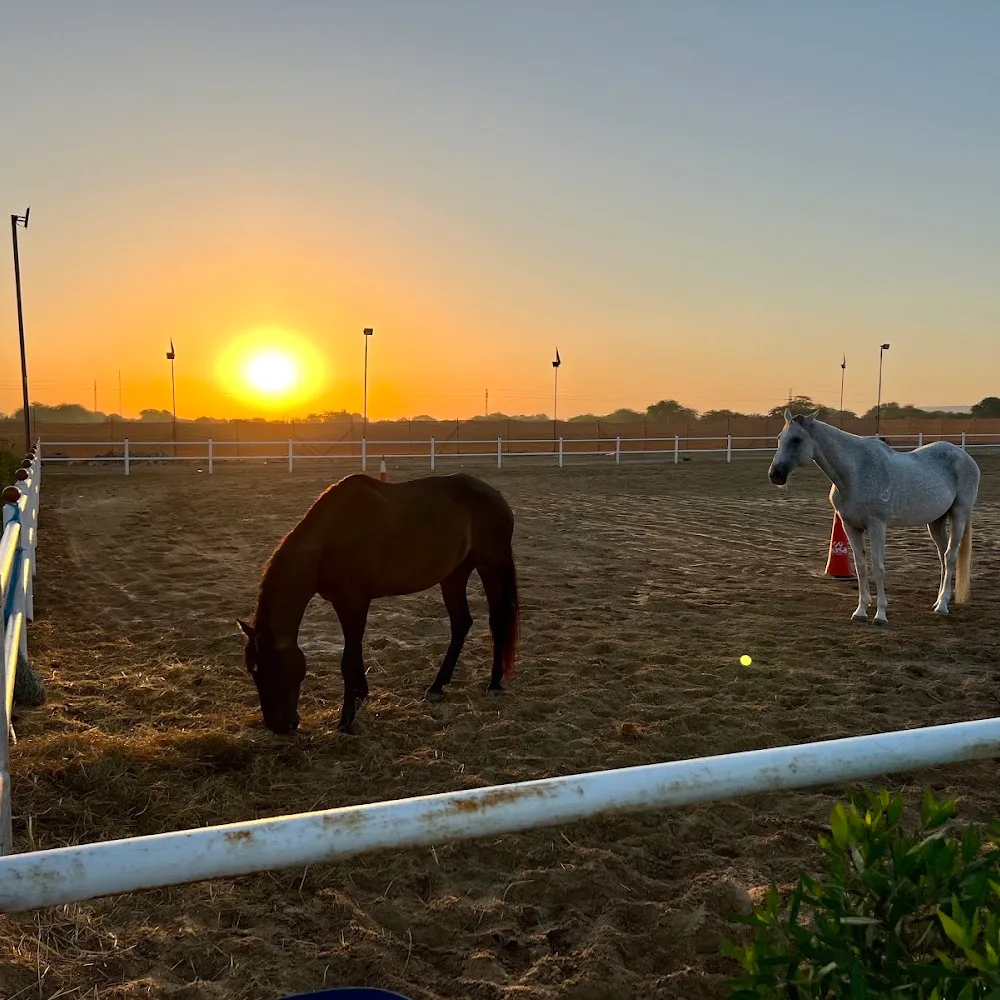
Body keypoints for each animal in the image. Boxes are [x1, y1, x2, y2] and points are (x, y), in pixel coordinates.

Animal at [236, 471, 520, 735]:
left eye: (275, 668)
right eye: (253, 670)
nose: (278, 726)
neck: (331, 537)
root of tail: (497, 496)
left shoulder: (353, 602)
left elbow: (349, 658)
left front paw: (346, 719)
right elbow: (354, 654)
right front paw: (358, 699)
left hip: (490, 566)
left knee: (497, 621)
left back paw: (494, 682)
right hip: (454, 574)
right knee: (461, 623)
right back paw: (437, 686)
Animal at [767, 409, 981, 626]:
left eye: (796, 439)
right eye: (779, 438)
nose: (775, 475)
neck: (855, 472)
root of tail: (965, 456)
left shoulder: (876, 525)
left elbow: (878, 567)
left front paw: (880, 614)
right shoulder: (850, 526)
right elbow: (861, 566)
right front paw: (861, 611)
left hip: (959, 515)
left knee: (950, 556)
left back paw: (943, 605)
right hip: (936, 521)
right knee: (942, 555)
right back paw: (938, 600)